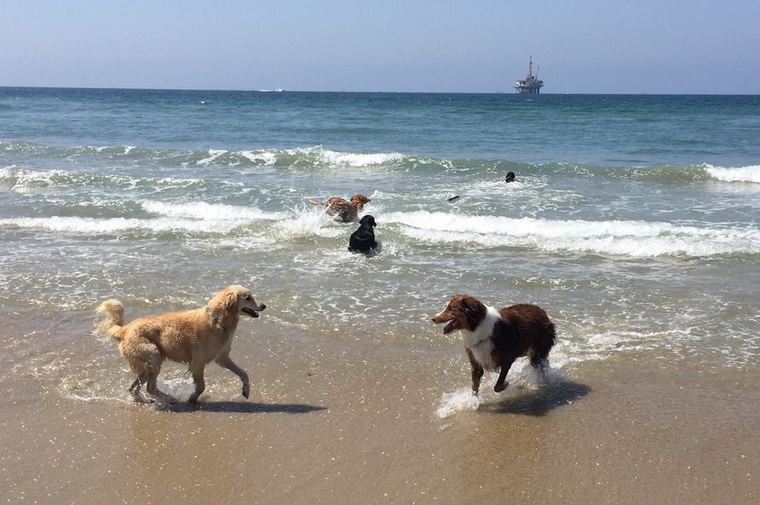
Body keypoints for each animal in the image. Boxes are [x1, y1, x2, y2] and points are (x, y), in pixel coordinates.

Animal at [96, 286, 266, 404]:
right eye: (248, 297)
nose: (264, 305)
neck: (218, 320)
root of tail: (125, 329)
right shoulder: (198, 363)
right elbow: (201, 386)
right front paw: (192, 398)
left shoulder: (222, 357)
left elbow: (244, 373)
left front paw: (246, 390)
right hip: (154, 356)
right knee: (150, 387)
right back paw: (169, 399)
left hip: (147, 364)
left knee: (134, 388)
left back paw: (144, 401)